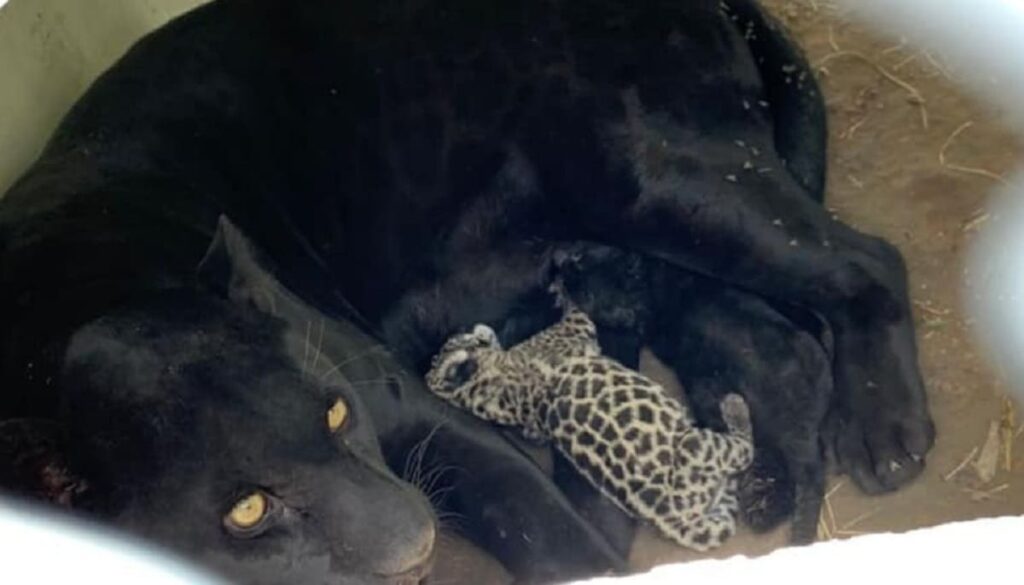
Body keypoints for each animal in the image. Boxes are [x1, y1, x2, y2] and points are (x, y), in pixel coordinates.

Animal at [426, 300, 755, 551]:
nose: (468, 329)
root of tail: (668, 516)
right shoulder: (574, 330)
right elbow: (577, 309)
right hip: (696, 445)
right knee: (744, 450)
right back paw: (734, 407)